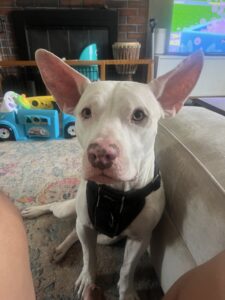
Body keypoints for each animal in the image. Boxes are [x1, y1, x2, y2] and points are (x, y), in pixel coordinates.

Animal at [21, 49, 204, 300]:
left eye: (139, 115)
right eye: (86, 112)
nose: (100, 154)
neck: (117, 194)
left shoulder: (139, 238)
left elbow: (127, 269)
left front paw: (127, 292)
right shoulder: (88, 226)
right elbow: (89, 258)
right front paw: (88, 280)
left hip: (105, 237)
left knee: (76, 231)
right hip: (72, 212)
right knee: (61, 214)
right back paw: (38, 216)